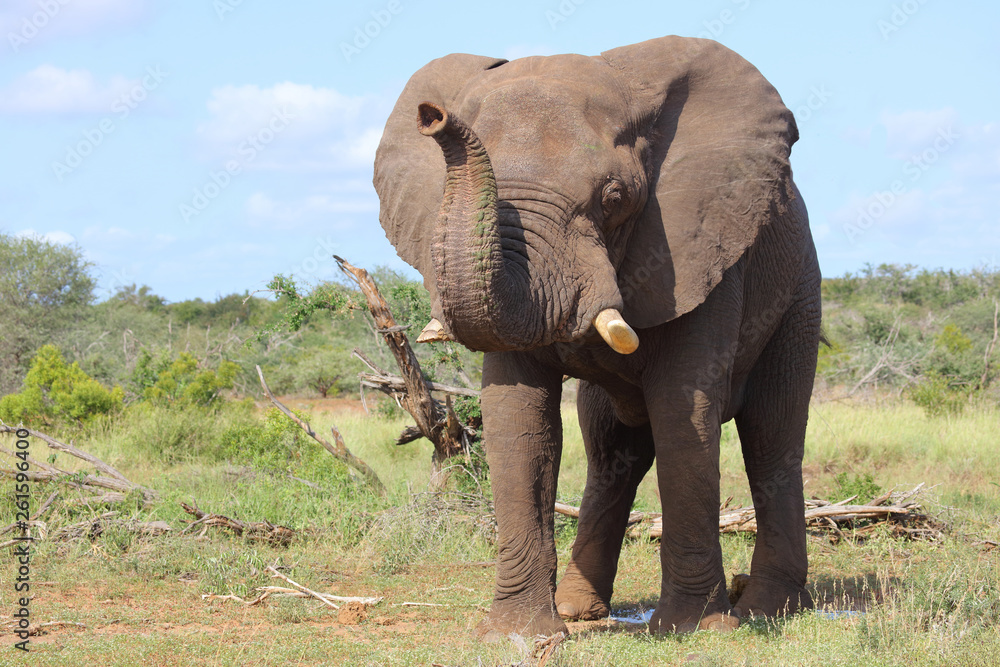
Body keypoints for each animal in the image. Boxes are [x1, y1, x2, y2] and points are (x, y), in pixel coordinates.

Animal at [373, 35, 821, 637]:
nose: (434, 116)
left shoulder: (703, 252)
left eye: (613, 198)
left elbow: (683, 415)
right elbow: (519, 426)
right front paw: (520, 635)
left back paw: (768, 610)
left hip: (798, 294)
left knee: (772, 437)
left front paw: (693, 629)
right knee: (613, 451)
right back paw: (578, 611)